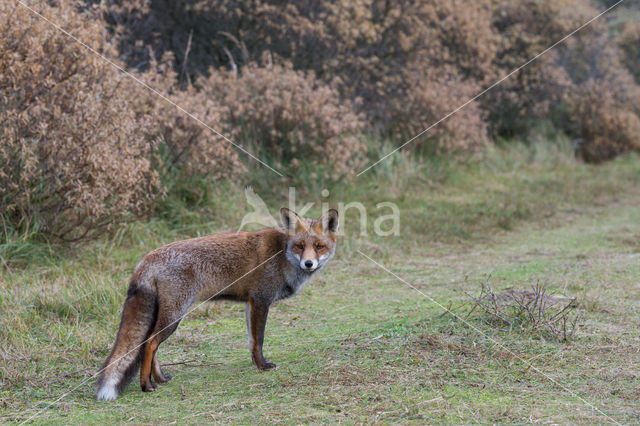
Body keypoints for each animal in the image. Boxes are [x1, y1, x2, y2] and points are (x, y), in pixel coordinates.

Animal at [96, 208, 340, 402]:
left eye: (319, 246)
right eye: (300, 246)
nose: (308, 263)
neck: (282, 255)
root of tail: (147, 257)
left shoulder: (250, 303)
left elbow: (252, 341)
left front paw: (255, 364)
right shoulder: (261, 300)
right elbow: (259, 339)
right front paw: (263, 366)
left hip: (167, 315)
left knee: (150, 344)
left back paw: (160, 378)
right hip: (174, 315)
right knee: (149, 343)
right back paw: (146, 385)